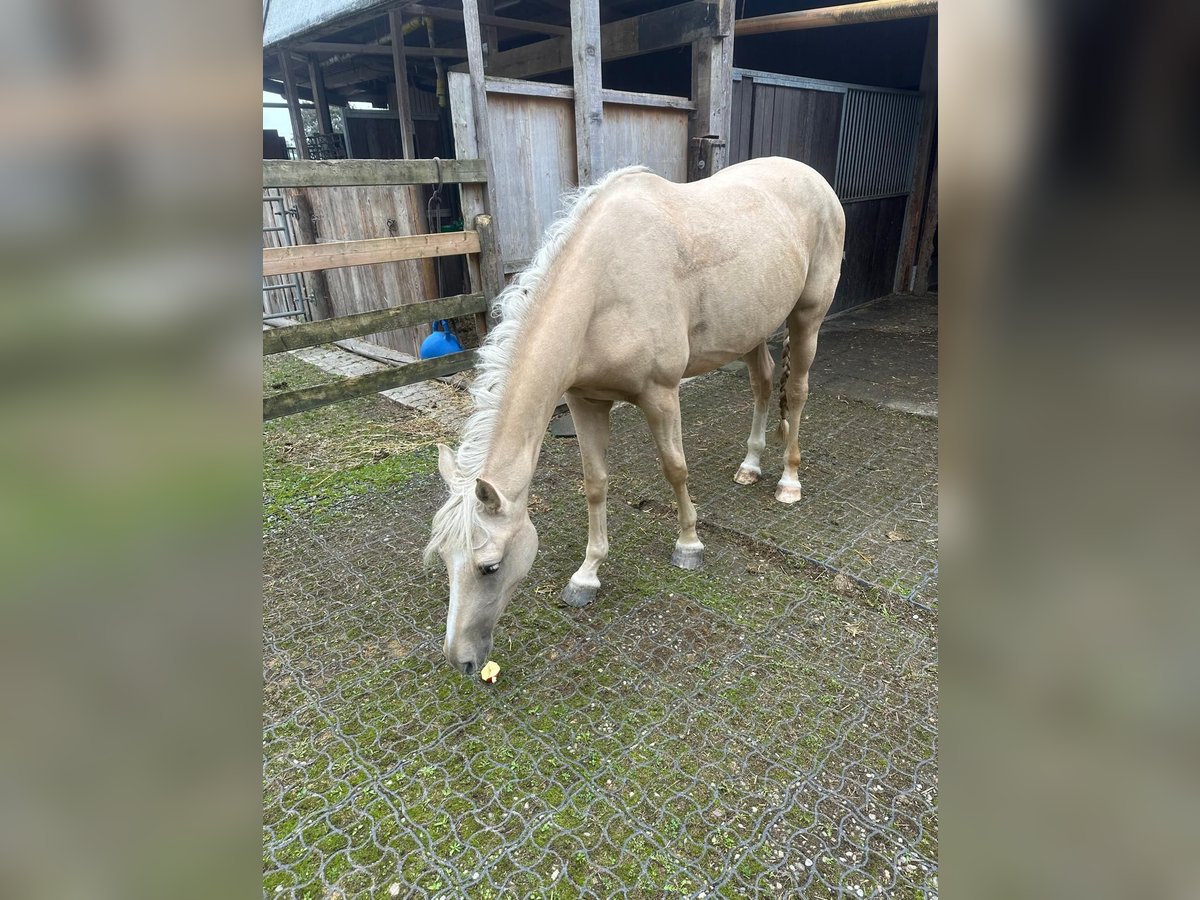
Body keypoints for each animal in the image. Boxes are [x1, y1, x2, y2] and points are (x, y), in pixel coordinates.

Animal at [426, 156, 846, 675]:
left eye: (490, 566)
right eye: (444, 560)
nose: (462, 661)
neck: (603, 286)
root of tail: (813, 178)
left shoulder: (661, 395)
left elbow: (675, 469)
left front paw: (689, 545)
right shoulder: (585, 402)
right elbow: (595, 484)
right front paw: (587, 575)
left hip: (808, 317)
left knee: (798, 391)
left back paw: (789, 481)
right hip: (751, 328)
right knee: (764, 385)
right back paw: (750, 466)